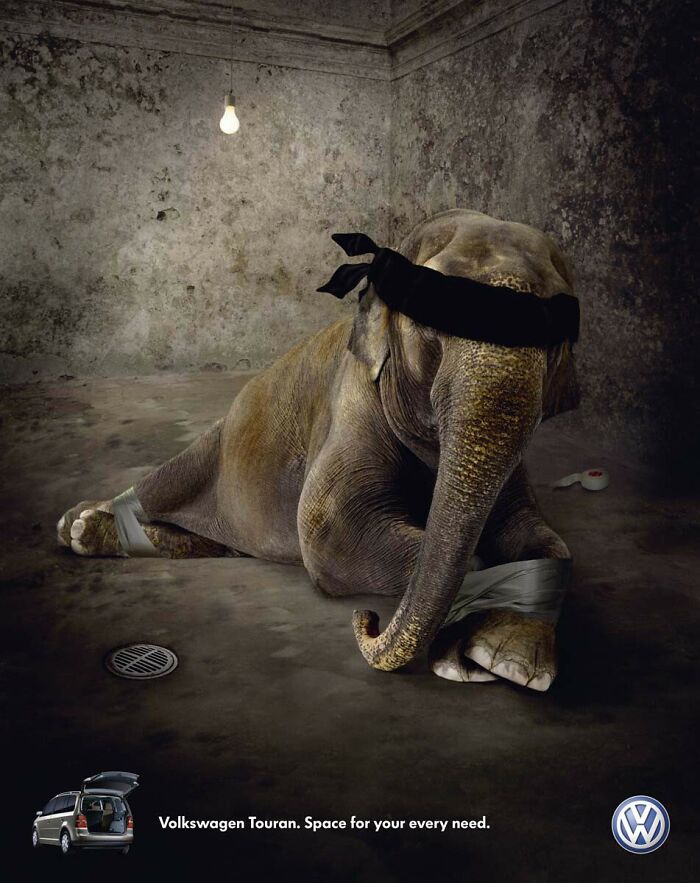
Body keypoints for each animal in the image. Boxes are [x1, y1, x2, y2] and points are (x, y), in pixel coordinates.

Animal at [57, 209, 580, 691]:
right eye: (432, 331)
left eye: (553, 345)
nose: (368, 620)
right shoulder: (351, 404)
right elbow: (330, 527)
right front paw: (463, 643)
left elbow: (544, 539)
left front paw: (505, 660)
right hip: (218, 442)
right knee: (165, 480)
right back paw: (80, 525)